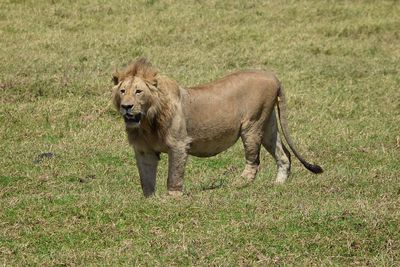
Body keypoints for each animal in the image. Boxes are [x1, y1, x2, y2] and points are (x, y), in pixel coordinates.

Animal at [111, 58, 324, 197]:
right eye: (123, 91)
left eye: (139, 91)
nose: (126, 106)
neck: (147, 122)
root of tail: (273, 77)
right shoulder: (143, 150)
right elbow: (146, 178)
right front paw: (150, 200)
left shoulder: (179, 144)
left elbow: (174, 175)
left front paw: (173, 198)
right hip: (268, 126)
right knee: (284, 155)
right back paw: (277, 185)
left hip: (252, 124)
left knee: (254, 161)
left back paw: (236, 185)